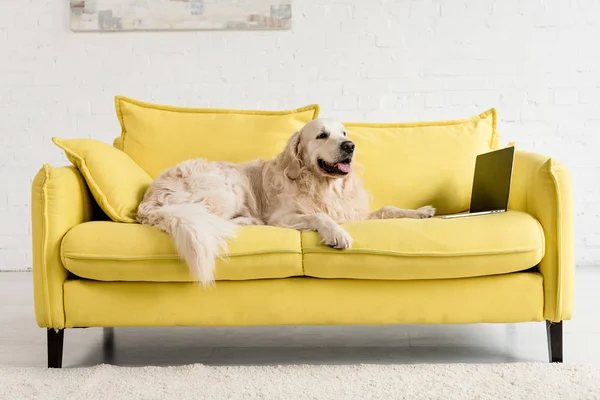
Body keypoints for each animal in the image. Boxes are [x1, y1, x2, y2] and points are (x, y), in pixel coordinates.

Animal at [138, 118, 434, 284]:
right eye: (322, 135)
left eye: (345, 133)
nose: (350, 146)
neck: (322, 185)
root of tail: (148, 201)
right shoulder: (283, 217)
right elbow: (319, 215)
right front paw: (337, 234)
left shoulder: (353, 213)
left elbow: (388, 209)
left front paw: (421, 211)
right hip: (227, 187)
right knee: (210, 218)